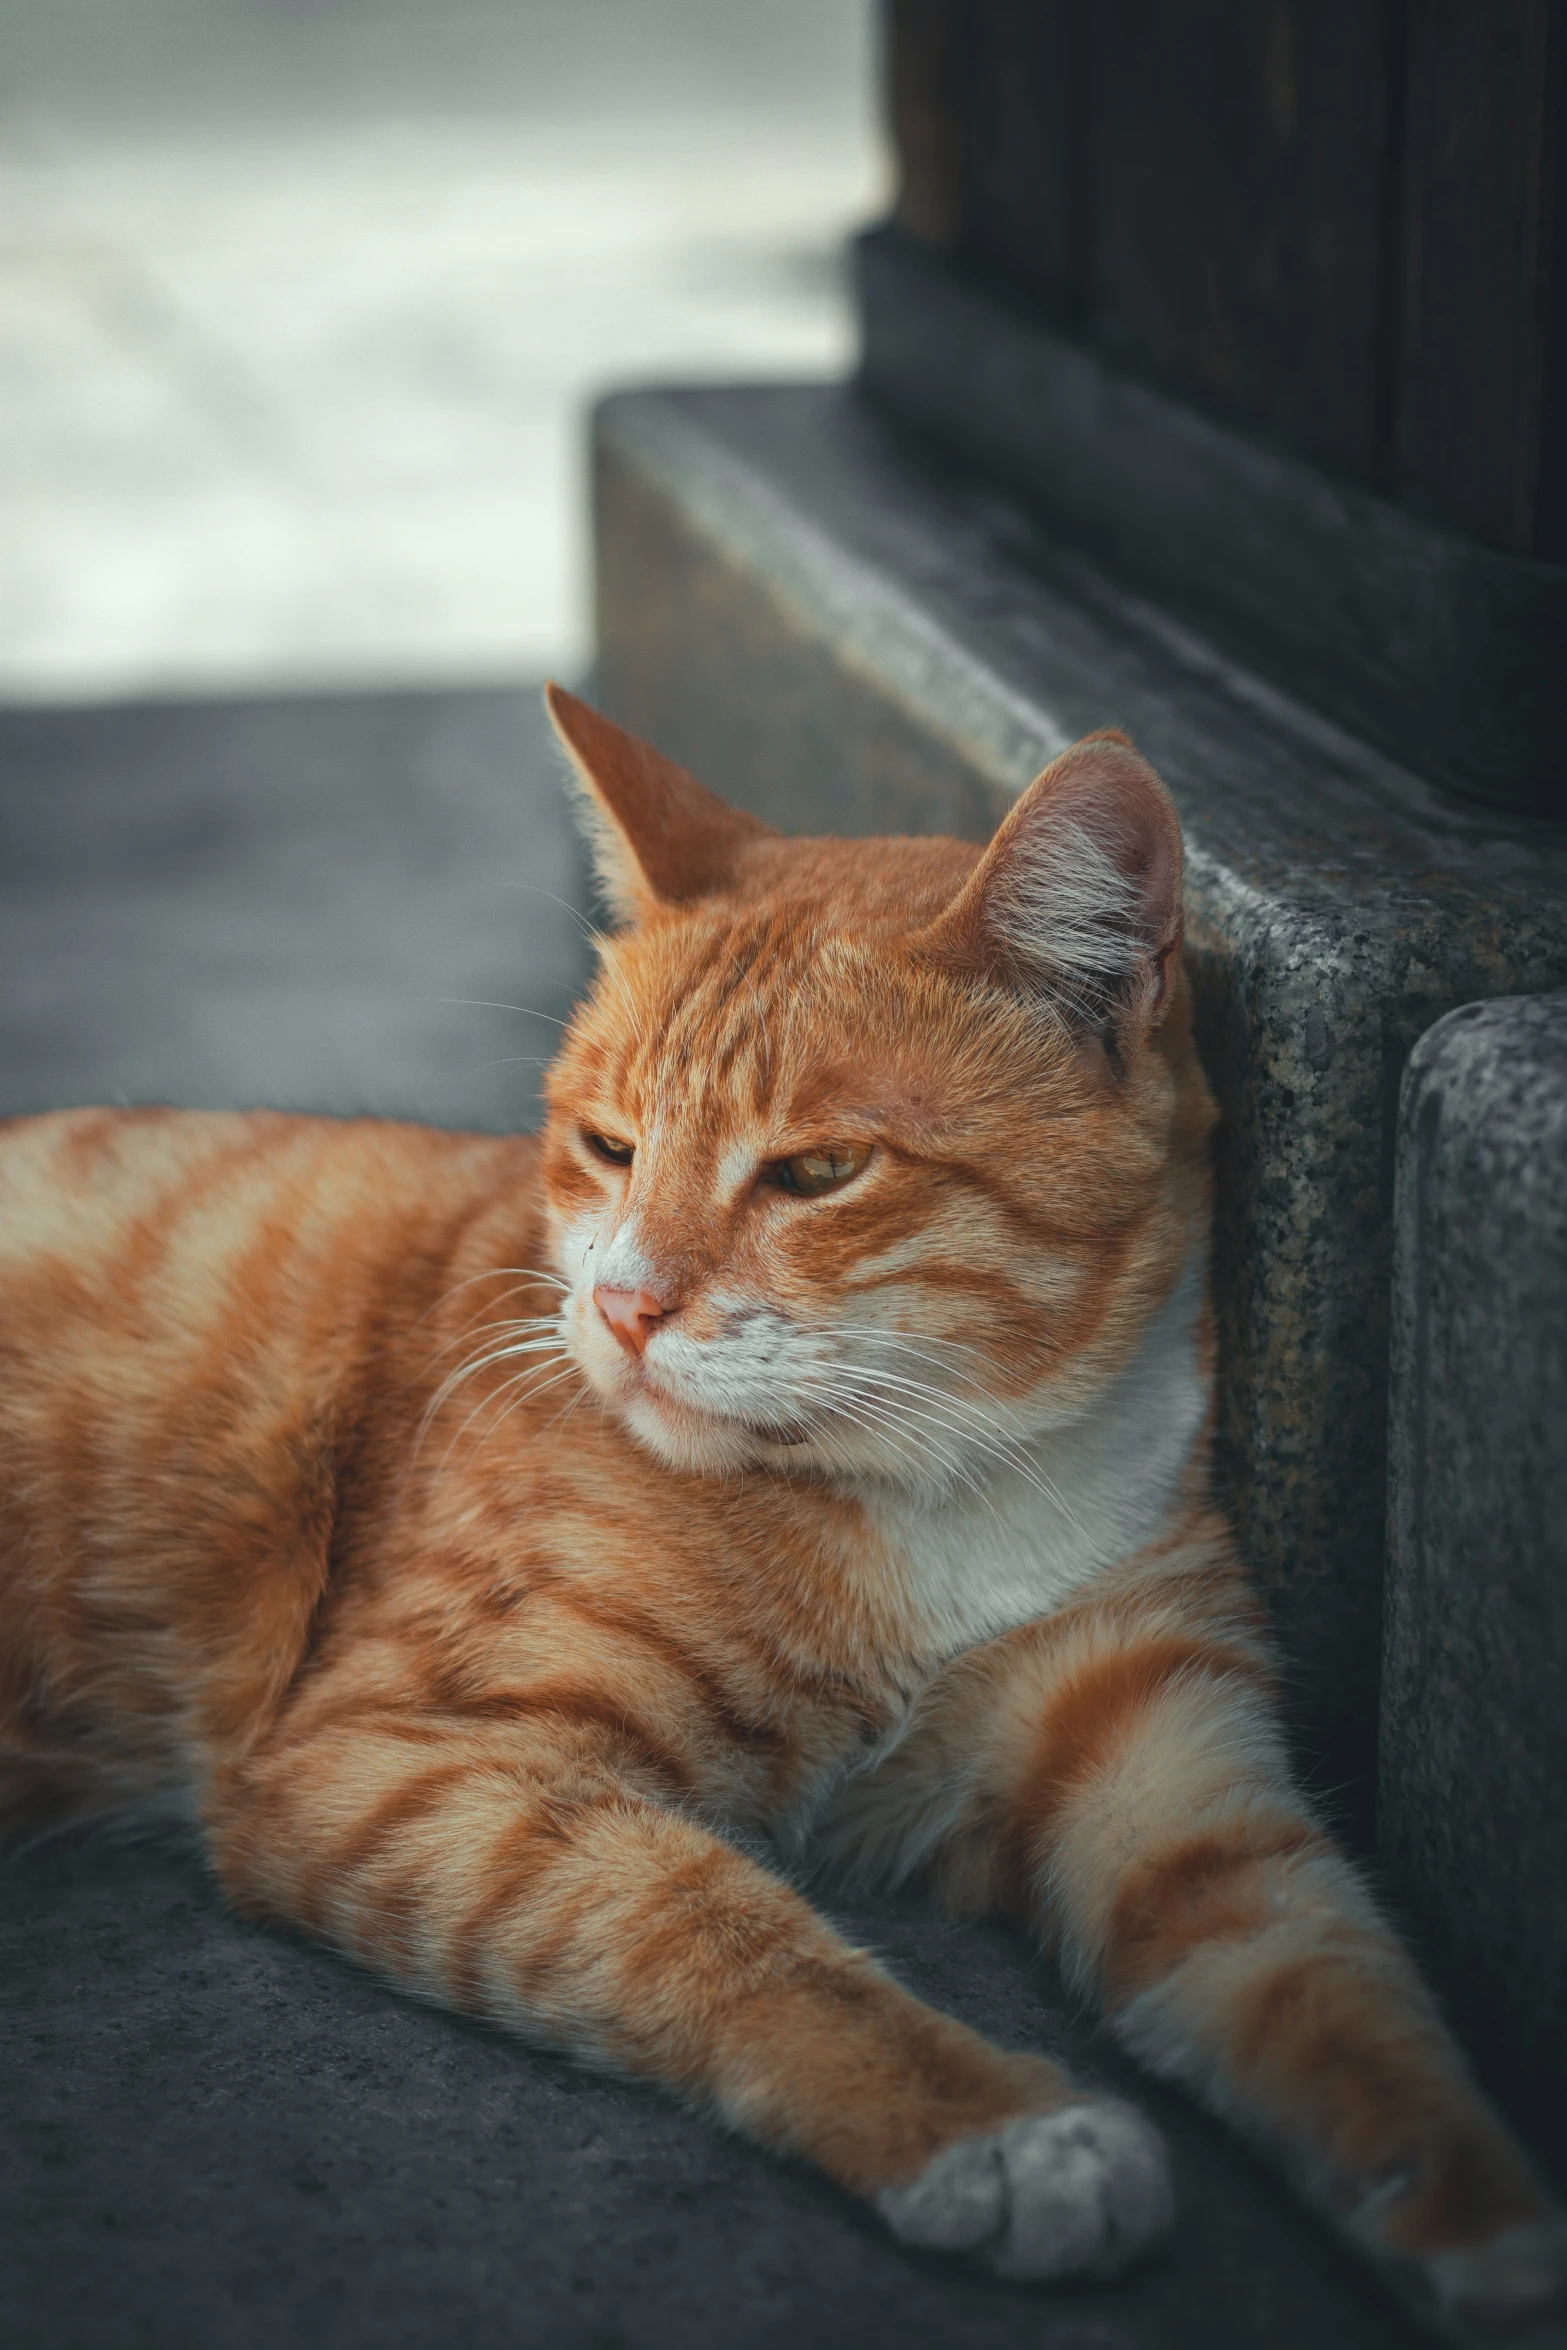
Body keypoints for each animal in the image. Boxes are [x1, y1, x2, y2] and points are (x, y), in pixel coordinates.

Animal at [0, 686, 1559, 2340]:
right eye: (608, 1145)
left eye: (816, 1170)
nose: (620, 1307)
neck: (938, 1494)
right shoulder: (408, 1758)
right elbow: (723, 1932)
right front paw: (992, 2124)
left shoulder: (1168, 1775)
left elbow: (1330, 1985)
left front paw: (1483, 2216)